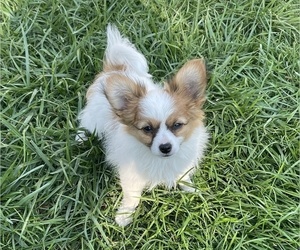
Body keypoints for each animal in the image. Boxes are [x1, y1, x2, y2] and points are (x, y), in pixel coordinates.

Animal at [76, 24, 209, 227]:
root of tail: (115, 69)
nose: (165, 147)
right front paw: (125, 215)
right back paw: (80, 138)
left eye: (177, 125)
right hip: (94, 118)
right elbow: (132, 197)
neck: (161, 161)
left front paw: (191, 190)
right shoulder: (131, 176)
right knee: (86, 122)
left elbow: (183, 176)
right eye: (147, 129)